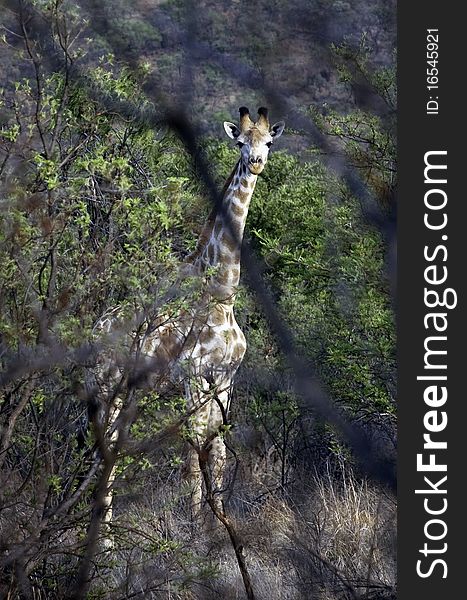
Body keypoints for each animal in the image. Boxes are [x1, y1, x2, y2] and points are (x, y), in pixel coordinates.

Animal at [95, 108, 286, 528]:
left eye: (268, 142)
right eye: (240, 142)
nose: (256, 163)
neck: (222, 296)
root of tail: (96, 327)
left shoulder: (226, 377)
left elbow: (218, 452)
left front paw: (218, 526)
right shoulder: (193, 376)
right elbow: (194, 456)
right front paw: (195, 529)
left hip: (132, 392)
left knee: (113, 451)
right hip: (103, 387)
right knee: (105, 451)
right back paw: (107, 536)